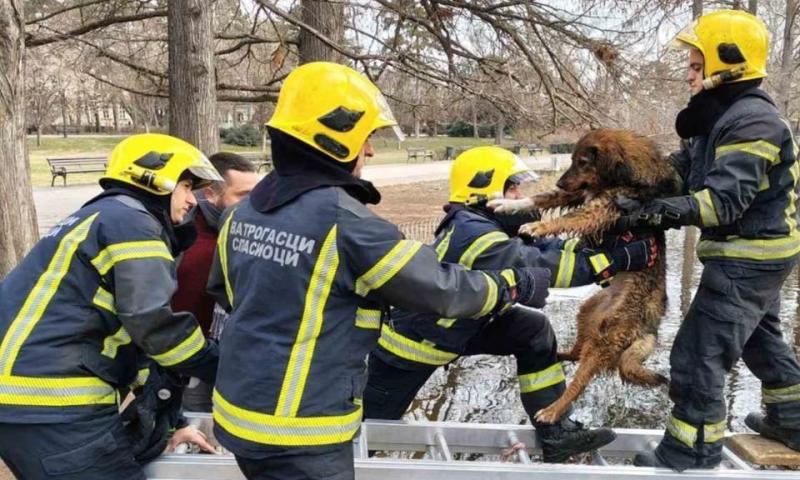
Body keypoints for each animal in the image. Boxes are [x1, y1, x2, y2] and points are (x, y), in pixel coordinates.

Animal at [516, 128, 680, 424]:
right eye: (571, 160)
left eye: (583, 162)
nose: (560, 182)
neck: (627, 174)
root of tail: (650, 327)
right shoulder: (582, 194)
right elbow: (545, 198)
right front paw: (506, 203)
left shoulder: (600, 207)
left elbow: (566, 218)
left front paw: (537, 226)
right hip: (588, 311)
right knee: (576, 353)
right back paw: (559, 354)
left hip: (606, 341)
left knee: (580, 381)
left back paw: (553, 409)